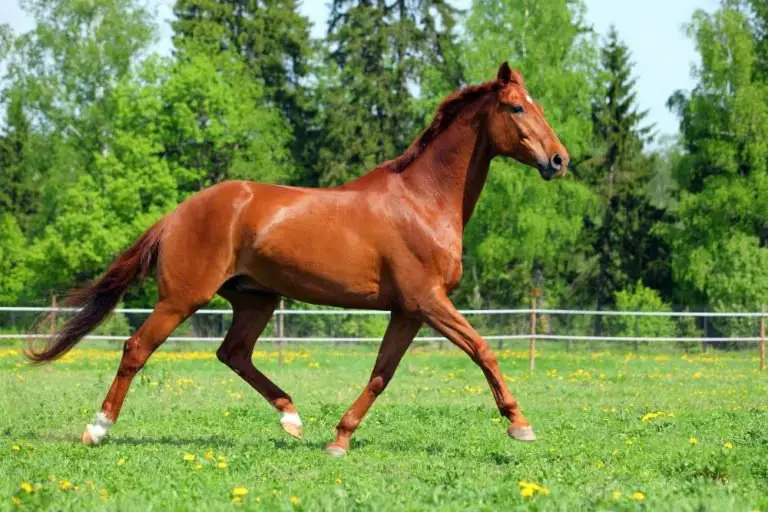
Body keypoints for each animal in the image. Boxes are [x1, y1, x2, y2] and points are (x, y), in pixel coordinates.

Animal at [27, 62, 569, 456]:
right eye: (516, 108)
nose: (559, 160)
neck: (422, 201)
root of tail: (180, 212)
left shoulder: (408, 311)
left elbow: (382, 374)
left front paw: (340, 439)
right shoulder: (428, 301)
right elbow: (483, 350)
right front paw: (520, 424)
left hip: (255, 299)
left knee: (233, 354)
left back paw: (291, 418)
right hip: (183, 298)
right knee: (137, 349)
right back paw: (97, 429)